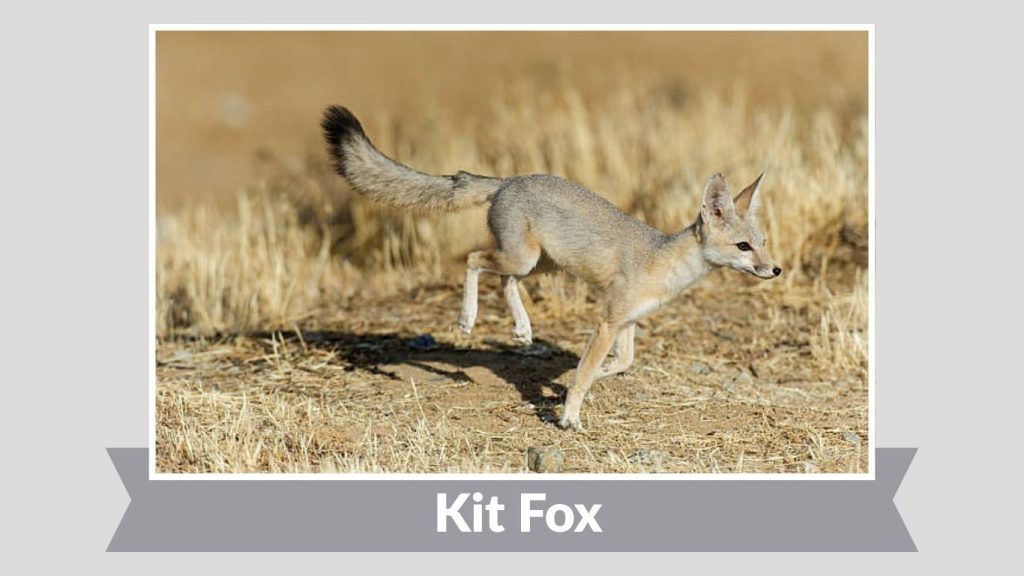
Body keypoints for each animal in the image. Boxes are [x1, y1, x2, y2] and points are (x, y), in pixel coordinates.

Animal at [321, 105, 781, 431]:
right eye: (743, 247)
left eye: (763, 243)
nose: (774, 271)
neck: (664, 259)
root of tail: (510, 180)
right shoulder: (608, 320)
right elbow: (585, 373)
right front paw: (569, 415)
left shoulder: (627, 321)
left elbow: (622, 362)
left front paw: (596, 376)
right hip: (523, 257)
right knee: (474, 260)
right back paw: (468, 318)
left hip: (539, 264)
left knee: (504, 280)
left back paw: (523, 329)